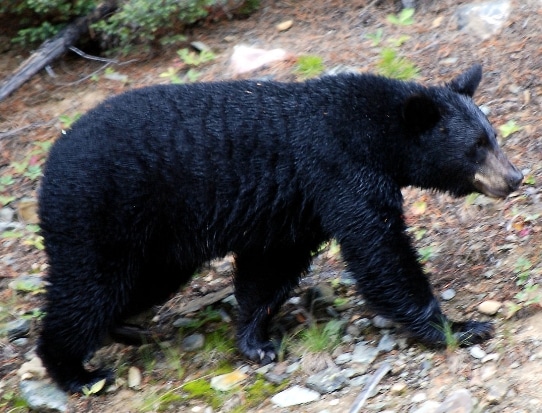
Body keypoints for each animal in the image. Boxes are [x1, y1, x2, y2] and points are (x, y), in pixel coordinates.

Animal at [37, 63, 524, 390]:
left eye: (493, 135)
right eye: (476, 146)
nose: (515, 177)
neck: (375, 132)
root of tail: (51, 160)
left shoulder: (298, 207)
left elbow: (270, 269)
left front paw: (255, 341)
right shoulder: (340, 169)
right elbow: (380, 252)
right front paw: (459, 327)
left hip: (157, 243)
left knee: (140, 284)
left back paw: (124, 329)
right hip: (100, 214)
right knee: (87, 289)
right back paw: (76, 372)